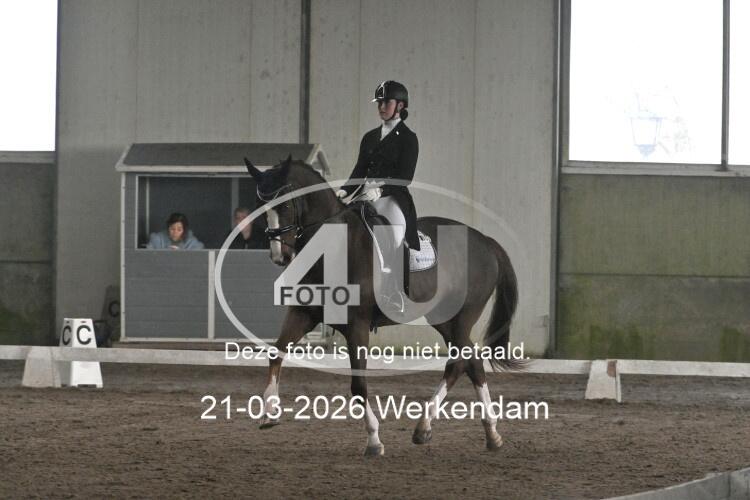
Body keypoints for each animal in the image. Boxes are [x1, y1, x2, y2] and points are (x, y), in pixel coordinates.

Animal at [244, 156, 520, 456]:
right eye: (259, 206)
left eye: (284, 204)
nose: (279, 256)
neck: (332, 248)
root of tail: (486, 242)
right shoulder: (304, 314)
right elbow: (276, 352)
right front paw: (269, 413)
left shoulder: (357, 325)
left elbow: (359, 384)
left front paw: (374, 440)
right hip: (443, 319)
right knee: (471, 362)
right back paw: (483, 433)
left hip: (461, 317)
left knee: (461, 362)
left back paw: (436, 427)